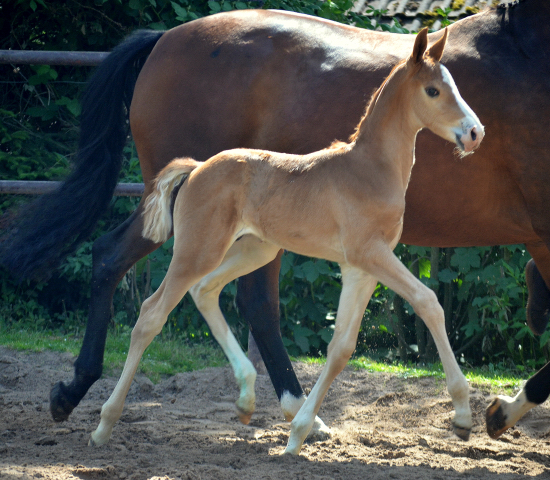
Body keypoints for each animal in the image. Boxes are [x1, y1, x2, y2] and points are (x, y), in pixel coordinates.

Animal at [92, 30, 486, 454]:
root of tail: (197, 168)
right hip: (198, 250)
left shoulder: (360, 268)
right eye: (433, 90)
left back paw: (246, 399)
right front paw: (463, 415)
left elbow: (341, 347)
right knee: (151, 314)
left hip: (253, 249)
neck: (370, 169)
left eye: (453, 85)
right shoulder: (371, 254)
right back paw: (103, 425)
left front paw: (298, 433)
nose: (475, 133)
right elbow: (429, 303)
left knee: (205, 290)